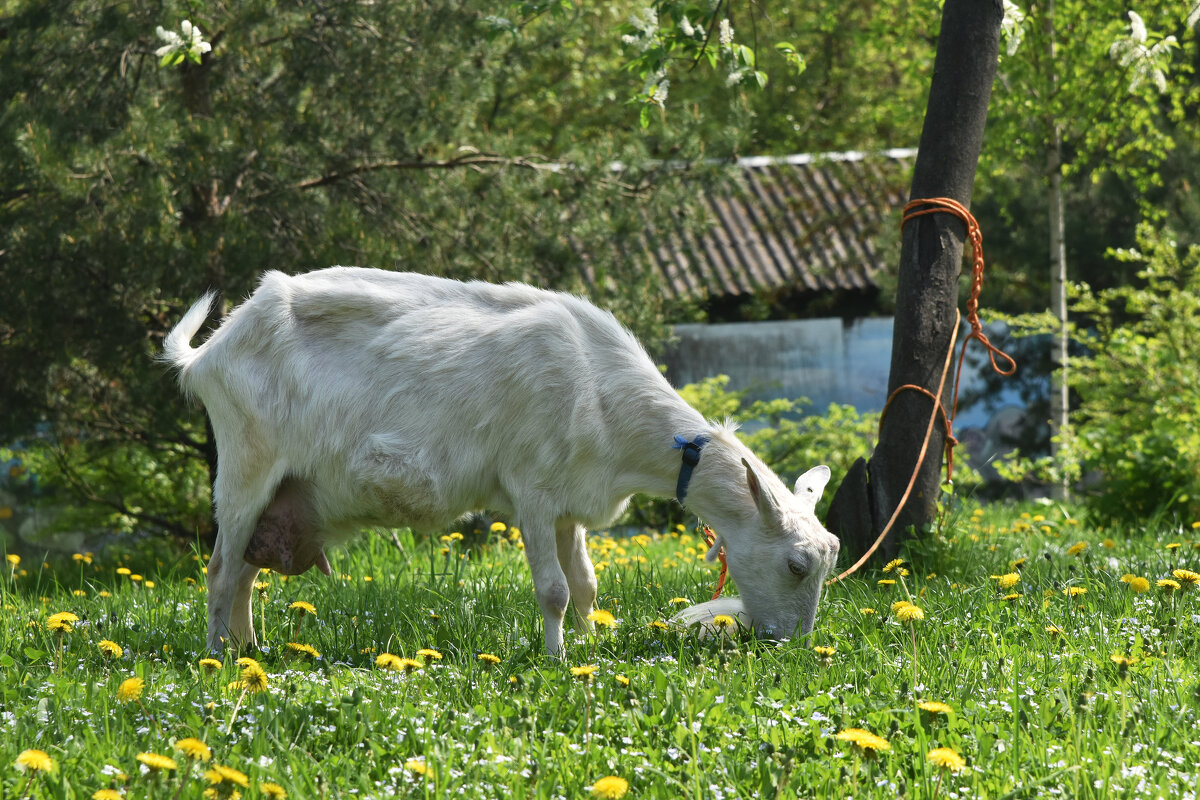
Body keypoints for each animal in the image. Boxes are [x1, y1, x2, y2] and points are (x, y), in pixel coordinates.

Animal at [162, 266, 844, 652]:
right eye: (795, 565)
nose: (792, 648)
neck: (600, 389)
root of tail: (208, 354)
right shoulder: (532, 491)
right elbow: (554, 590)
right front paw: (556, 659)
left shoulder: (571, 504)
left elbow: (586, 585)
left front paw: (589, 648)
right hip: (246, 468)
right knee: (219, 570)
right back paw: (218, 658)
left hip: (281, 494)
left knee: (245, 573)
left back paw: (252, 650)